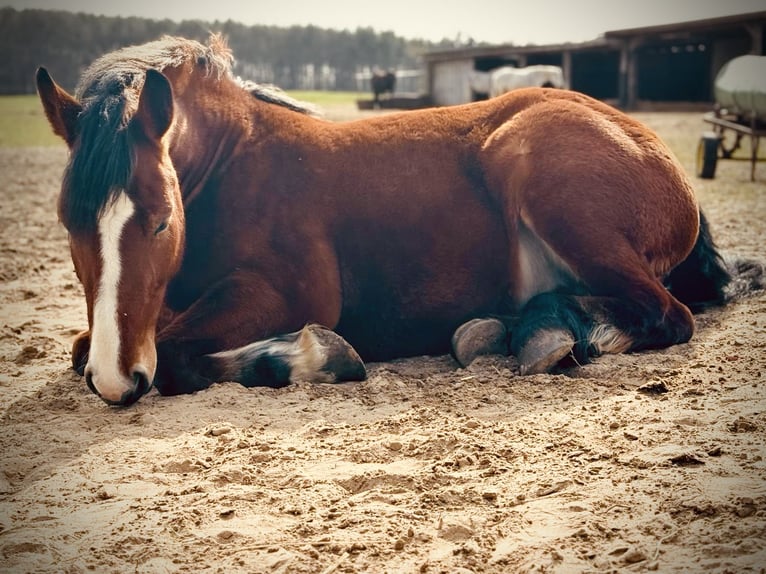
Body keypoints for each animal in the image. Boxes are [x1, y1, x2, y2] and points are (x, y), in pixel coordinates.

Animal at [36, 33, 732, 408]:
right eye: (68, 224)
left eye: (159, 223)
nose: (116, 381)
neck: (235, 166)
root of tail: (646, 140)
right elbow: (85, 345)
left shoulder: (287, 293)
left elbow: (180, 358)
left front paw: (317, 357)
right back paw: (508, 330)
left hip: (554, 189)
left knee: (668, 315)